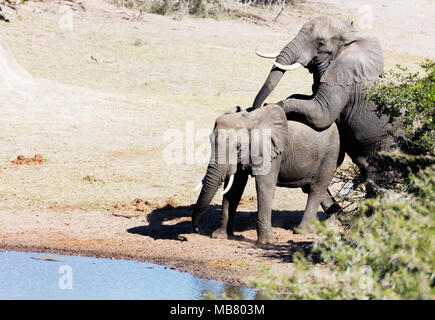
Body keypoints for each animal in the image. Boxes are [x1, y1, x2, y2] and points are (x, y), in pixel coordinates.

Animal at [192, 104, 342, 244]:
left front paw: (267, 242)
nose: (195, 229)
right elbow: (234, 188)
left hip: (330, 153)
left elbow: (265, 186)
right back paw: (331, 224)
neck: (250, 119)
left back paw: (301, 231)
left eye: (238, 147)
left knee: (316, 188)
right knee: (315, 188)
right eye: (210, 141)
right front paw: (221, 236)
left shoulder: (270, 151)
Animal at [254, 15, 400, 190]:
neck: (351, 36)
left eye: (320, 43)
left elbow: (322, 115)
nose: (253, 108)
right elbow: (304, 99)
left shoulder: (342, 83)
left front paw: (271, 108)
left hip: (389, 143)